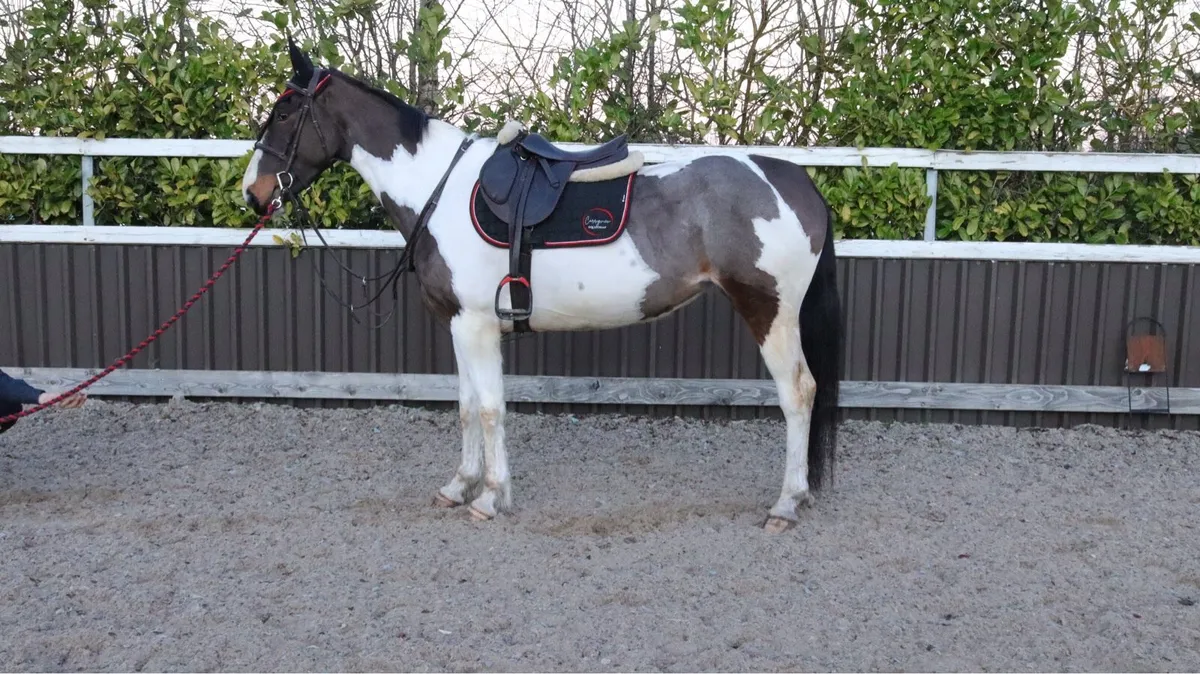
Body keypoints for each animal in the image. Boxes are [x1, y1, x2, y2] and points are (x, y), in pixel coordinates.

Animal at [241, 40, 844, 533]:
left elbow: (490, 408)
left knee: (799, 393)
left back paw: (786, 504)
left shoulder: (478, 327)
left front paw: (491, 498)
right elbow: (466, 407)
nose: (253, 192)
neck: (438, 189)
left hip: (769, 310)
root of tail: (794, 180)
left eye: (284, 112)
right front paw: (459, 487)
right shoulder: (459, 326)